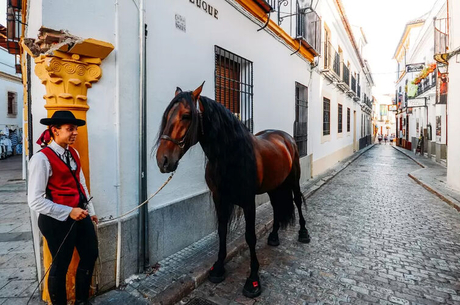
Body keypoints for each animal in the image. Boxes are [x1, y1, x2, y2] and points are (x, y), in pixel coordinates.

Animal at [156, 82, 310, 296]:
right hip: (274, 185)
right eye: (167, 115)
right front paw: (218, 268)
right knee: (276, 206)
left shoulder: (248, 202)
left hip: (293, 180)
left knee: (296, 200)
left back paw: (303, 233)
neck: (229, 155)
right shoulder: (219, 198)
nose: (162, 160)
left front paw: (253, 280)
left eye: (186, 115)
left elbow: (250, 237)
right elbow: (221, 231)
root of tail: (286, 137)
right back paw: (273, 236)